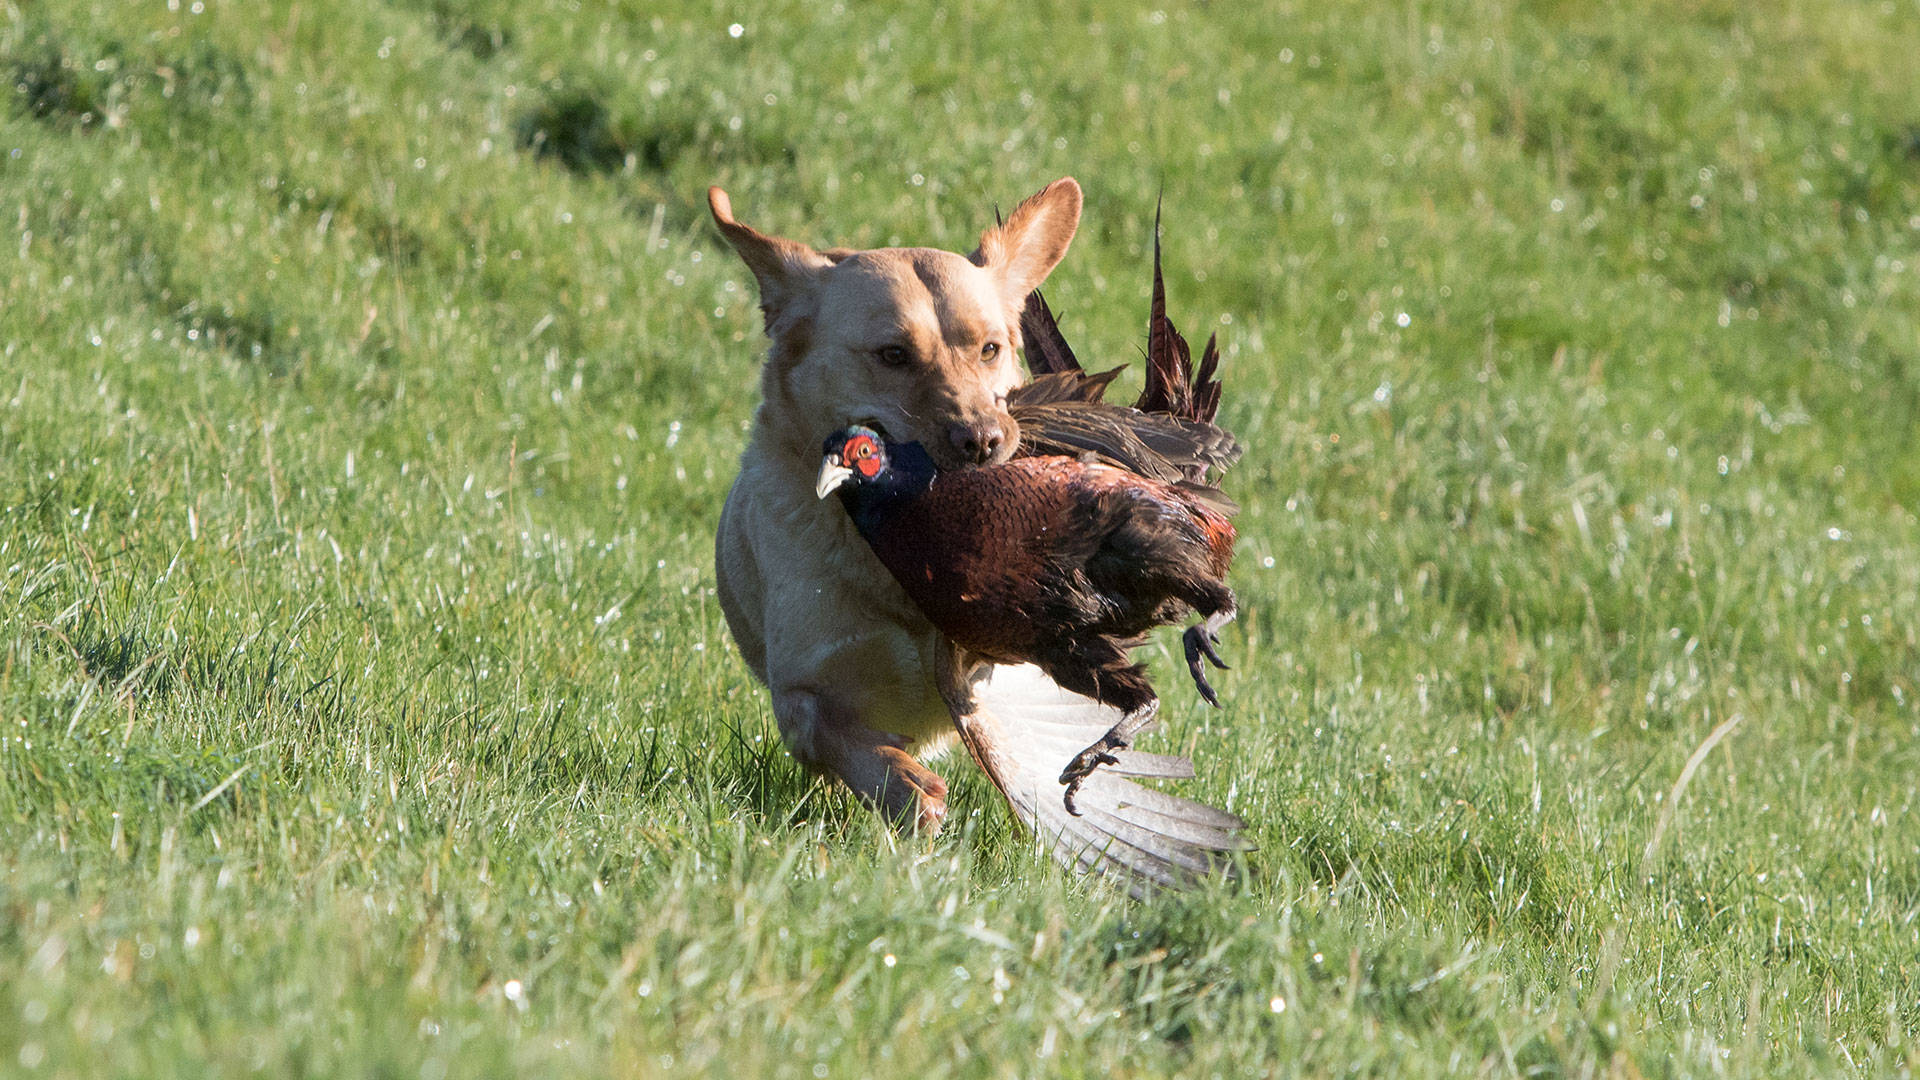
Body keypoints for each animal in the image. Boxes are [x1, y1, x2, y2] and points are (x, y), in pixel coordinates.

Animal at [710, 180, 1082, 826]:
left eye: (990, 349)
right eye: (892, 354)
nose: (982, 440)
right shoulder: (802, 690)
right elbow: (835, 736)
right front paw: (908, 789)